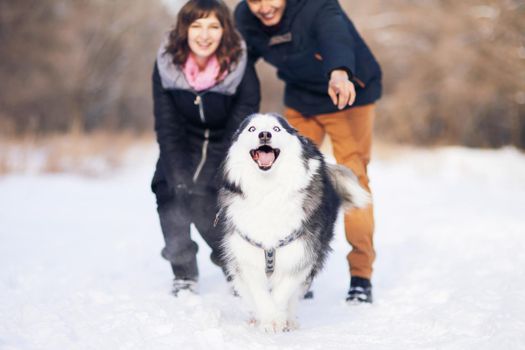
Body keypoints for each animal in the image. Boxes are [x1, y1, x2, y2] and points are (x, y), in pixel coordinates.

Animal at [215, 113, 370, 332]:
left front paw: (276, 319)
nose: (264, 134)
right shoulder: (245, 253)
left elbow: (283, 291)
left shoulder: (302, 251)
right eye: (252, 129)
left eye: (277, 128)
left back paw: (289, 319)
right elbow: (258, 293)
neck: (268, 191)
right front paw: (266, 318)